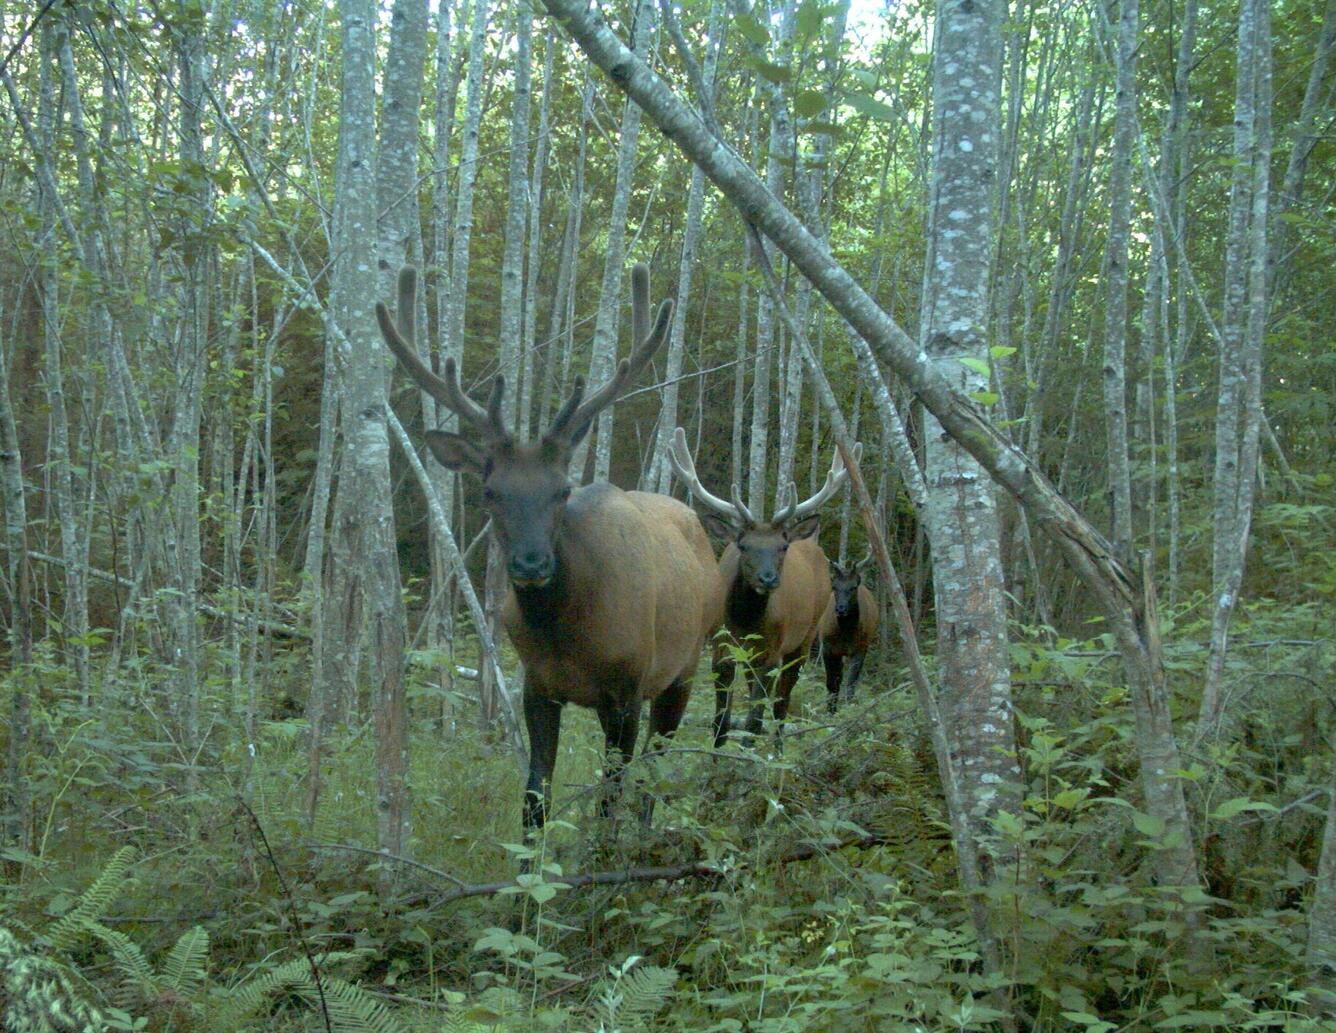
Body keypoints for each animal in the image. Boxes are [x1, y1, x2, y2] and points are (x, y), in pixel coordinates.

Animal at [375, 265, 724, 838]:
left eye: (562, 489)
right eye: (490, 492)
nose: (531, 563)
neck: (570, 632)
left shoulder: (628, 684)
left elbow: (611, 793)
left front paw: (604, 856)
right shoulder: (538, 685)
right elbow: (535, 796)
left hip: (688, 662)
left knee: (656, 764)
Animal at [667, 428, 859, 745]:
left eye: (783, 546)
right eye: (743, 545)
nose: (768, 579)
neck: (745, 622)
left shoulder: (772, 650)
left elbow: (754, 720)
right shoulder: (721, 646)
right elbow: (721, 721)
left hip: (804, 637)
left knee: (781, 704)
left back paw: (778, 748)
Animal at [819, 556, 879, 712]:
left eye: (853, 587)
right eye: (834, 587)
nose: (840, 609)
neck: (845, 633)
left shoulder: (860, 648)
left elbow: (851, 683)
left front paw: (848, 708)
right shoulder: (827, 648)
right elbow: (831, 683)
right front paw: (830, 711)